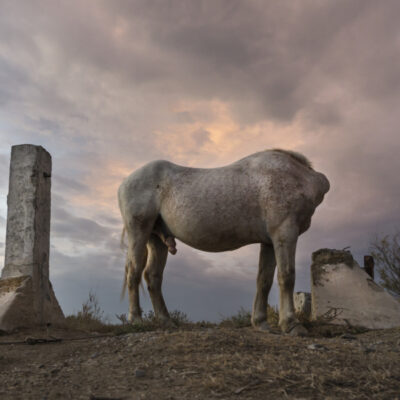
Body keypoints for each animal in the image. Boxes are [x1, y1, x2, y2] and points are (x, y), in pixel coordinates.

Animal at [117, 149, 330, 334]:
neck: (298, 178)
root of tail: (125, 182)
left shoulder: (270, 242)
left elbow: (264, 280)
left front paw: (260, 322)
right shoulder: (285, 233)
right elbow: (287, 276)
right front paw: (291, 324)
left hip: (156, 240)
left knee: (152, 276)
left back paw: (165, 320)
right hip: (139, 232)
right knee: (134, 272)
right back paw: (136, 319)